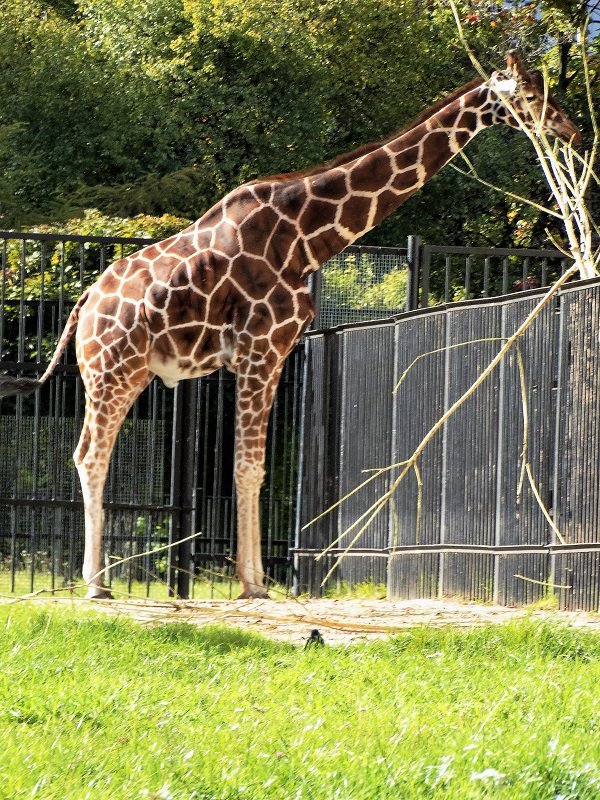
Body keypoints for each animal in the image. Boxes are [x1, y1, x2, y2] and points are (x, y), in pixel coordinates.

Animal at [0, 53, 580, 596]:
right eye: (530, 93)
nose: (570, 130)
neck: (306, 238)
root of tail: (84, 303)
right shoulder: (259, 348)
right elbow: (248, 467)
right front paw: (254, 583)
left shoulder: (276, 353)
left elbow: (254, 468)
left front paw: (253, 578)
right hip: (111, 371)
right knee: (90, 456)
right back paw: (96, 583)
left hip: (132, 373)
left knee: (94, 454)